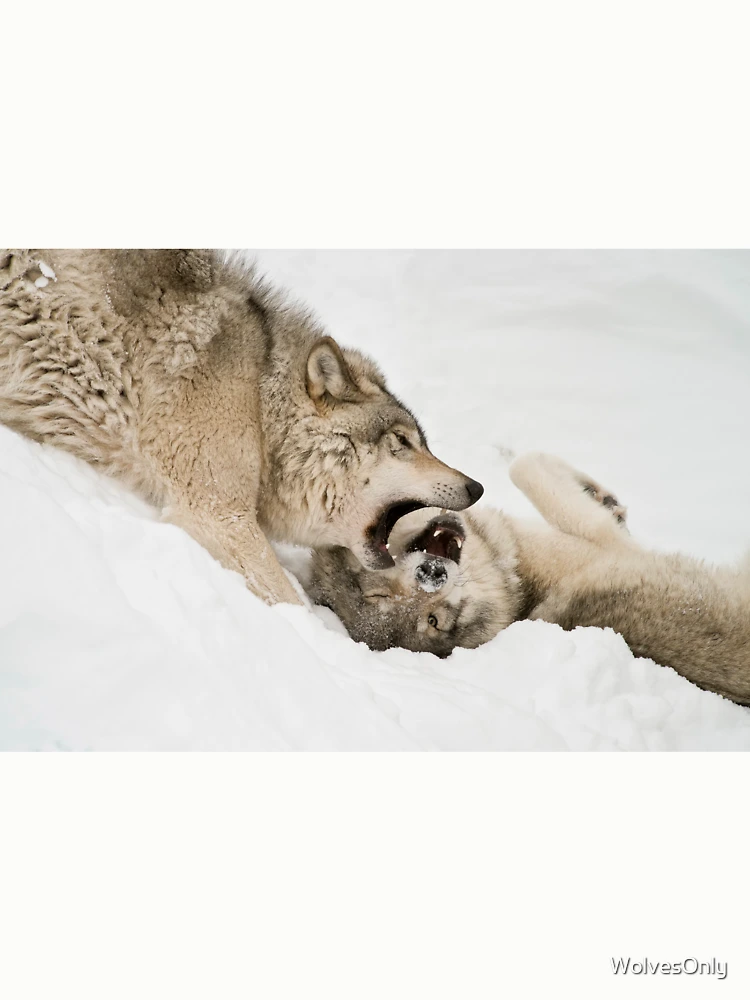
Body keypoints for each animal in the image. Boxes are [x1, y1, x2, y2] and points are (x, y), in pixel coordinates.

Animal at [0, 250, 483, 605]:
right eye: (402, 442)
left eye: (422, 443)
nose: (477, 487)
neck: (263, 403)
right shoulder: (217, 514)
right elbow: (288, 599)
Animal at [308, 452, 750, 704]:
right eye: (434, 621)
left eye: (378, 589)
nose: (431, 574)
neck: (517, 580)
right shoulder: (603, 540)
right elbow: (527, 466)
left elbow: (522, 467)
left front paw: (606, 499)